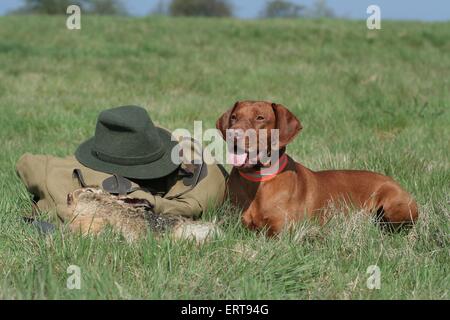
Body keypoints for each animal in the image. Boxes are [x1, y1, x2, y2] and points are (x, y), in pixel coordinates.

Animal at [215, 101, 418, 236]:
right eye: (234, 117)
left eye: (260, 118)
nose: (233, 134)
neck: (257, 180)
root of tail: (394, 181)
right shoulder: (231, 224)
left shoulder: (280, 232)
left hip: (394, 206)